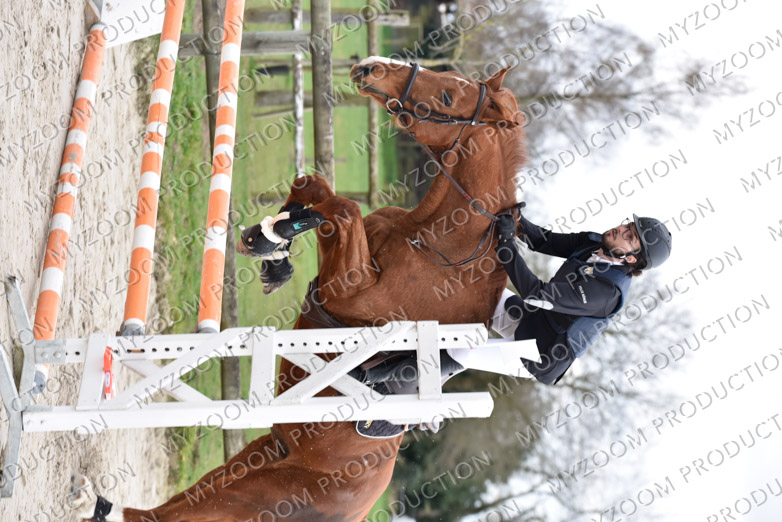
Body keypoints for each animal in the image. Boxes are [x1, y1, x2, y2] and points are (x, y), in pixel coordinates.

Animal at [71, 57, 526, 522]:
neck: (436, 240)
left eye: (449, 96)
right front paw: (270, 244)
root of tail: (362, 503)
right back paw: (95, 503)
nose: (370, 68)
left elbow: (342, 208)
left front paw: (272, 241)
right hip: (265, 453)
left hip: (264, 491)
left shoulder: (350, 292)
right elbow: (318, 191)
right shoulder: (338, 264)